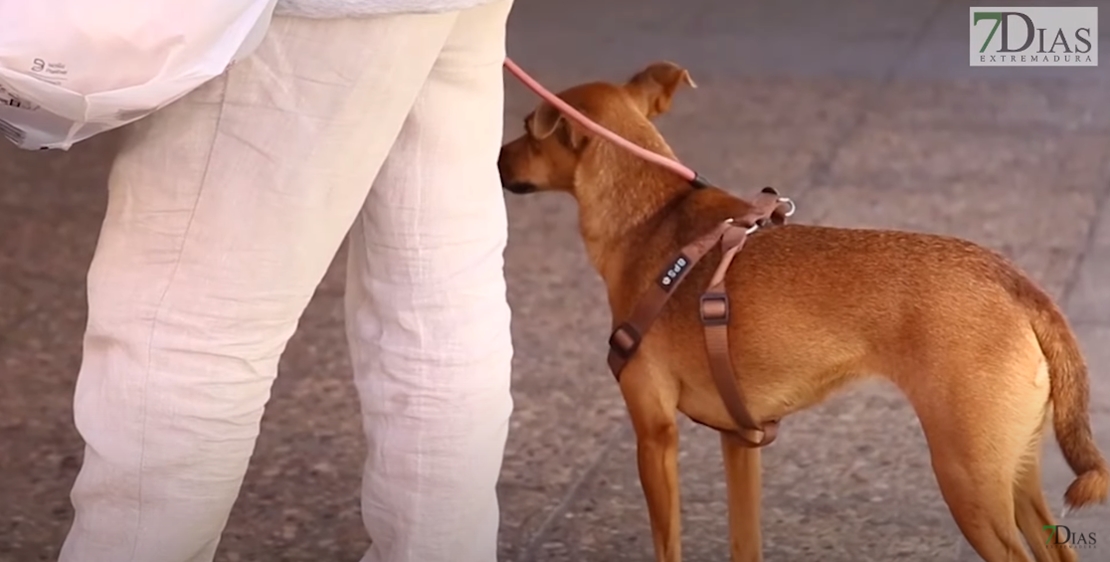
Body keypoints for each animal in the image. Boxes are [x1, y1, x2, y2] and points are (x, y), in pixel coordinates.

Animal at [501, 59, 1110, 559]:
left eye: (528, 129)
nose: (497, 158)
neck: (653, 216)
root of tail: (1018, 284)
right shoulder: (739, 441)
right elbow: (744, 542)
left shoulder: (654, 436)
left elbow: (666, 543)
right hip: (1015, 477)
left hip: (971, 484)